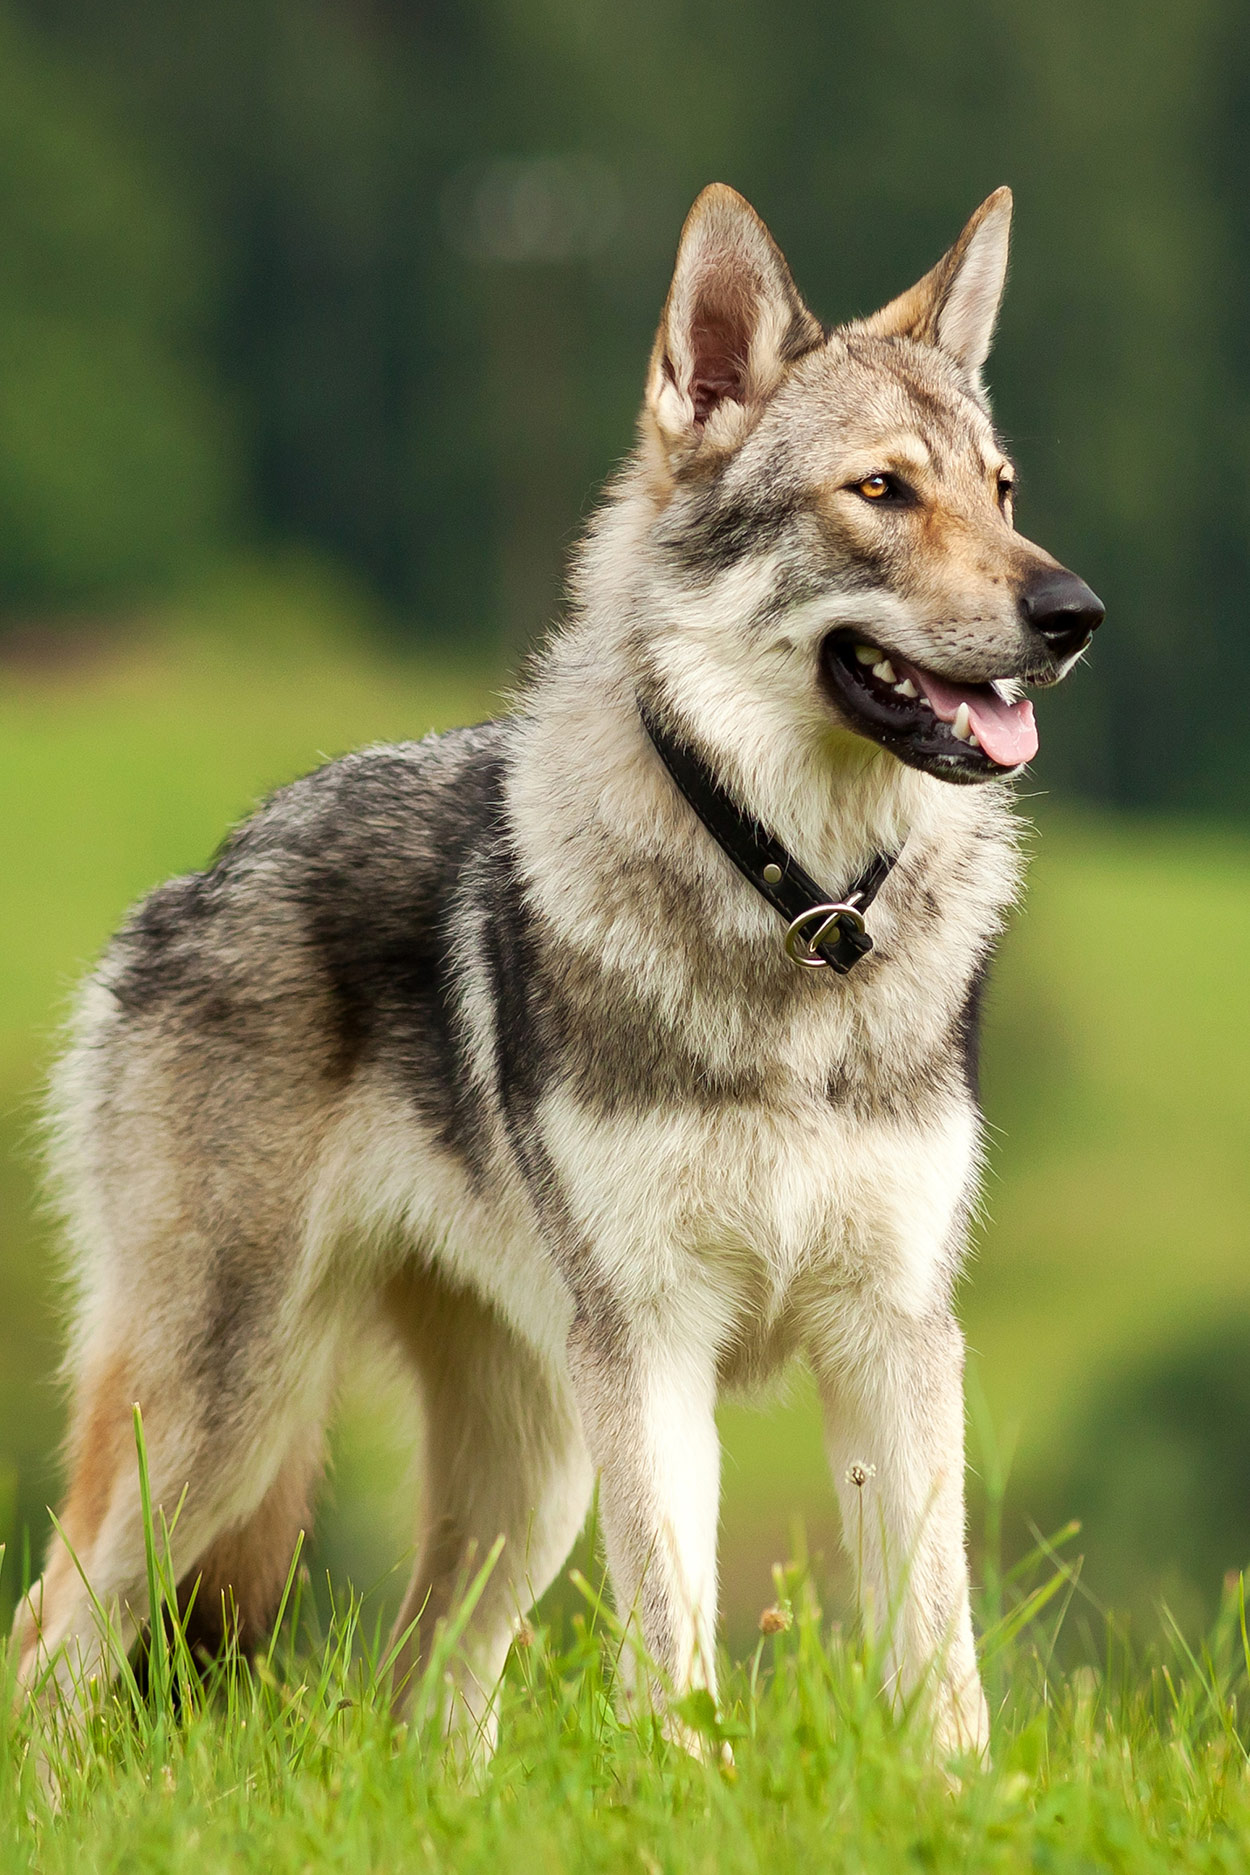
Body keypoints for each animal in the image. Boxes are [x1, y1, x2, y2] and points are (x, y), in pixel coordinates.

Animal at [12, 179, 1101, 1755]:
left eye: (1003, 492)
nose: (1073, 611)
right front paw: (694, 1788)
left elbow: (935, 1658)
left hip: (522, 1483)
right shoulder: (651, 1348)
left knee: (420, 1704)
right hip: (228, 1419)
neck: (796, 912)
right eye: (881, 492)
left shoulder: (892, 1337)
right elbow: (674, 1648)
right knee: (45, 1648)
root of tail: (192, 877)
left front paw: (954, 1795)